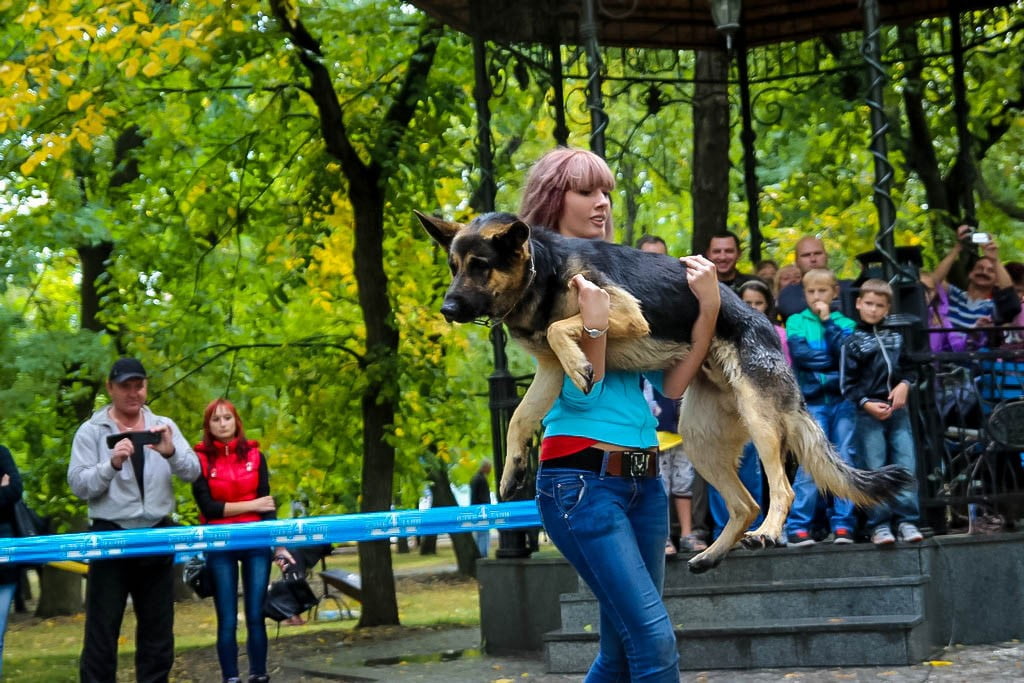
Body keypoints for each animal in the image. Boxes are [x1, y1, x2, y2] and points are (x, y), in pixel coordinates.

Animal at [415, 209, 913, 573]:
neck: (544, 272)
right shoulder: (549, 371)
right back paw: (711, 555)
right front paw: (514, 465)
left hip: (760, 420)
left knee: (782, 490)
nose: (447, 308)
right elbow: (521, 414)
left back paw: (770, 531)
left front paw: (580, 362)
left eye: (480, 267)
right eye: (453, 268)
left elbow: (560, 328)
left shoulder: (624, 314)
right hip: (700, 439)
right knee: (745, 502)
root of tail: (768, 332)